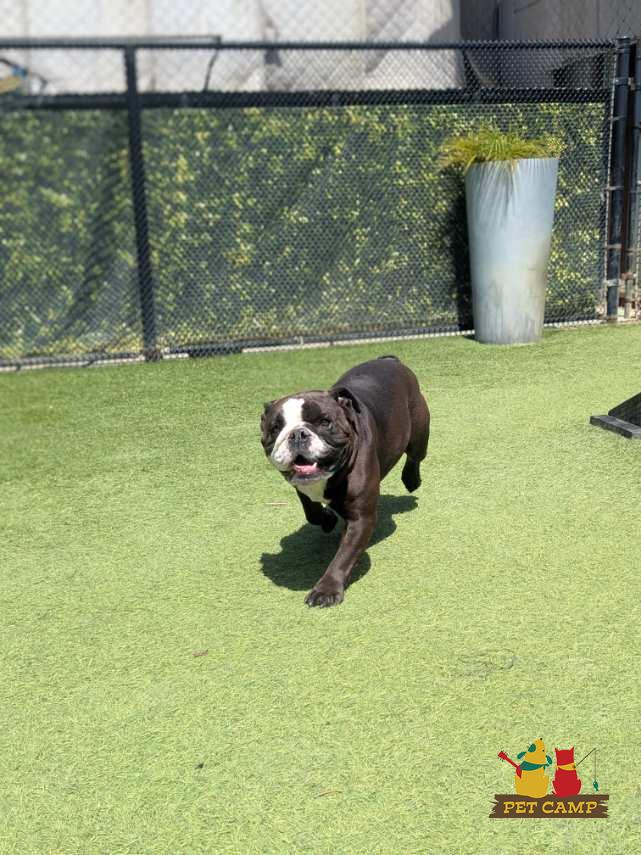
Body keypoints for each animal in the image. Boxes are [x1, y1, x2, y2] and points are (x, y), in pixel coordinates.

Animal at [260, 355, 430, 607]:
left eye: (324, 422)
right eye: (275, 428)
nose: (298, 434)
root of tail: (389, 359)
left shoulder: (360, 519)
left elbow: (343, 556)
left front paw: (326, 590)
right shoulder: (302, 487)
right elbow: (311, 512)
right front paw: (328, 519)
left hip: (419, 432)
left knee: (415, 457)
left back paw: (411, 480)